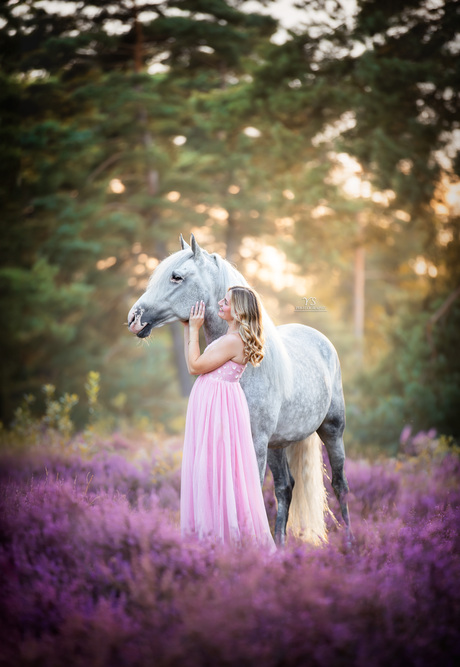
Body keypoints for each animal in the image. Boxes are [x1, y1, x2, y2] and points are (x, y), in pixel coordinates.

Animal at [127, 235, 350, 548]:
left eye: (176, 276)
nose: (133, 318)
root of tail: (321, 339)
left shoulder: (255, 442)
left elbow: (251, 489)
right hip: (277, 444)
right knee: (285, 488)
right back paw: (280, 547)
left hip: (332, 430)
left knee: (339, 484)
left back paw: (351, 543)